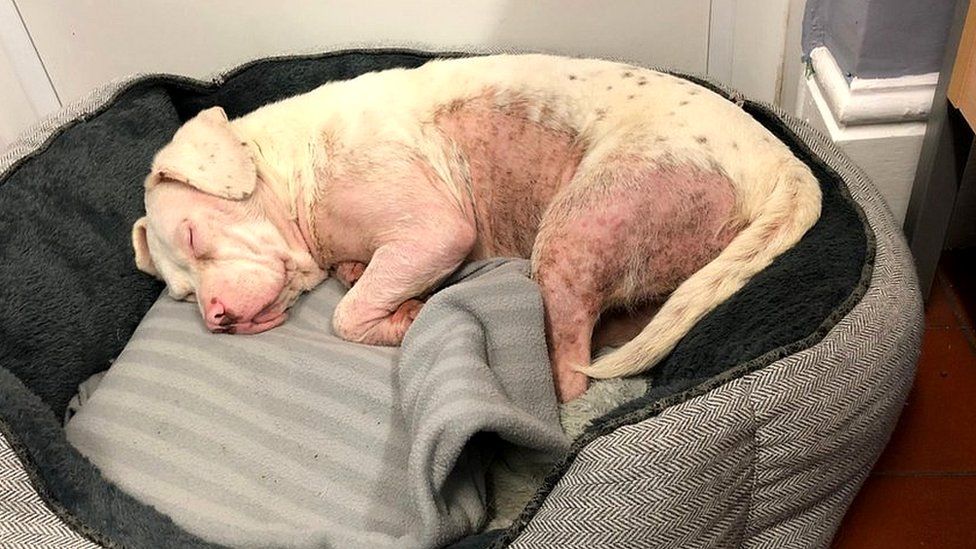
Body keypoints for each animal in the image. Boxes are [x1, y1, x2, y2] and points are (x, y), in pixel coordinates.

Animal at [127, 53, 816, 400]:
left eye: (193, 237)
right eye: (182, 295)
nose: (216, 316)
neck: (292, 168)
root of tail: (784, 165)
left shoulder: (435, 231)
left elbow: (347, 316)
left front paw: (403, 317)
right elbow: (356, 283)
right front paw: (366, 280)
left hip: (577, 232)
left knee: (571, 374)